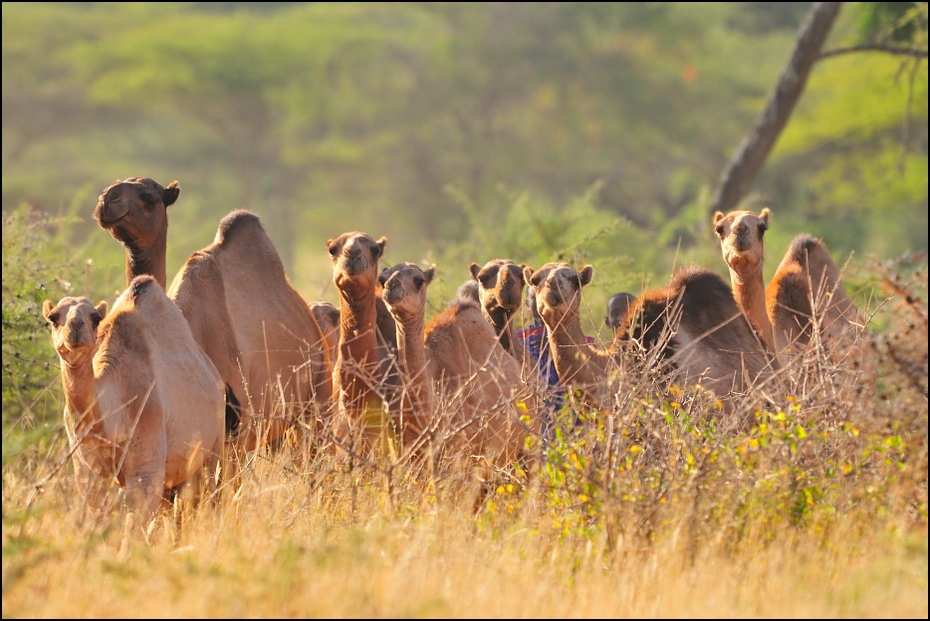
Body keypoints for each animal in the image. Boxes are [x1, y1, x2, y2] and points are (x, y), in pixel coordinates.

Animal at [43, 276, 225, 524]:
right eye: (53, 318)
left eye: (95, 318)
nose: (76, 325)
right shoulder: (86, 466)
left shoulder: (146, 457)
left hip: (214, 446)